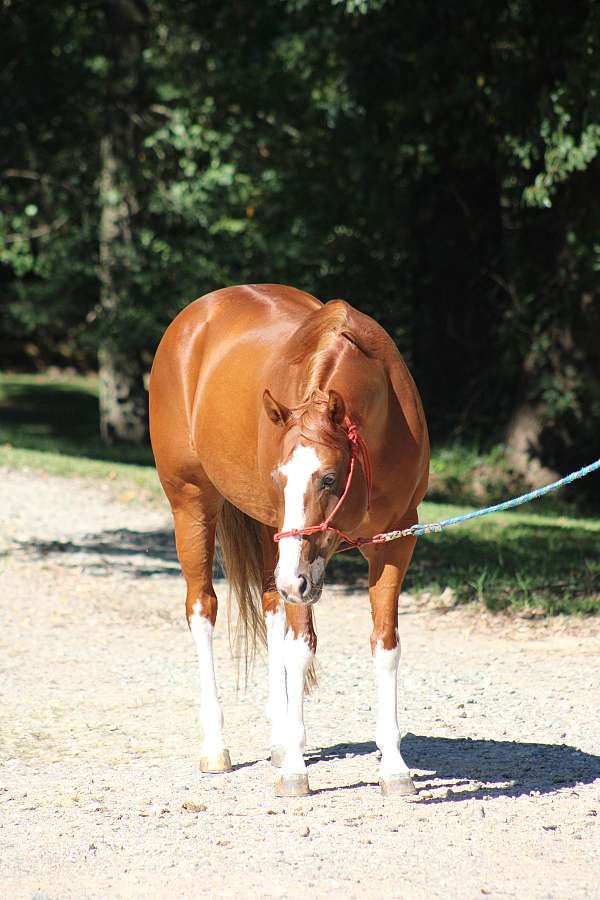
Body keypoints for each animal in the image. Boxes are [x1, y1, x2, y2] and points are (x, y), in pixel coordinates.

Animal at [152, 284, 428, 800]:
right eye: (280, 478)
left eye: (329, 478)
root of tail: (198, 314)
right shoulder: (299, 568)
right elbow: (301, 646)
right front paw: (297, 771)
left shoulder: (394, 543)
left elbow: (385, 645)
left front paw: (394, 767)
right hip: (193, 506)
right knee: (203, 609)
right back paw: (217, 747)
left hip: (274, 542)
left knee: (270, 604)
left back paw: (280, 737)